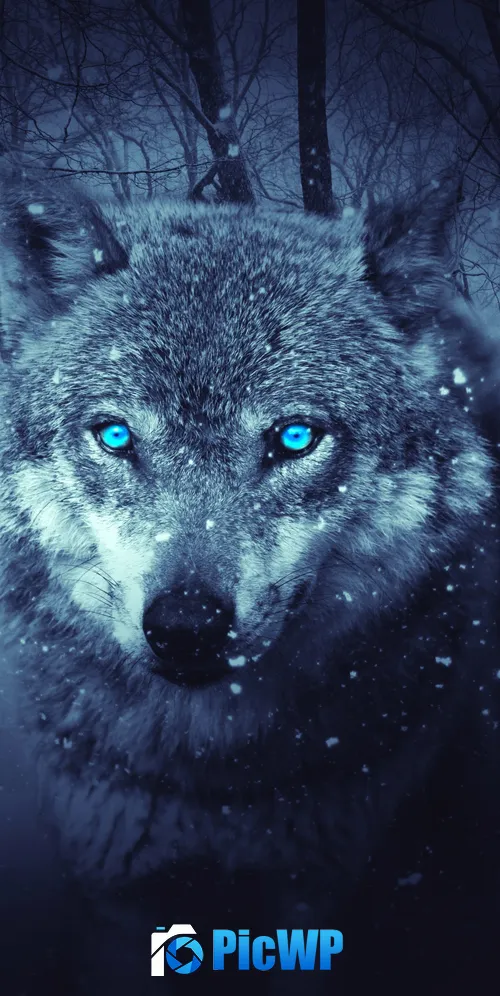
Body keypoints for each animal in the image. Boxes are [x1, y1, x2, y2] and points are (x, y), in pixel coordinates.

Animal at [0, 178, 499, 995]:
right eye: (116, 436)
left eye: (294, 438)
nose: (186, 625)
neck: (214, 780)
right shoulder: (117, 897)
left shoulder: (311, 895)